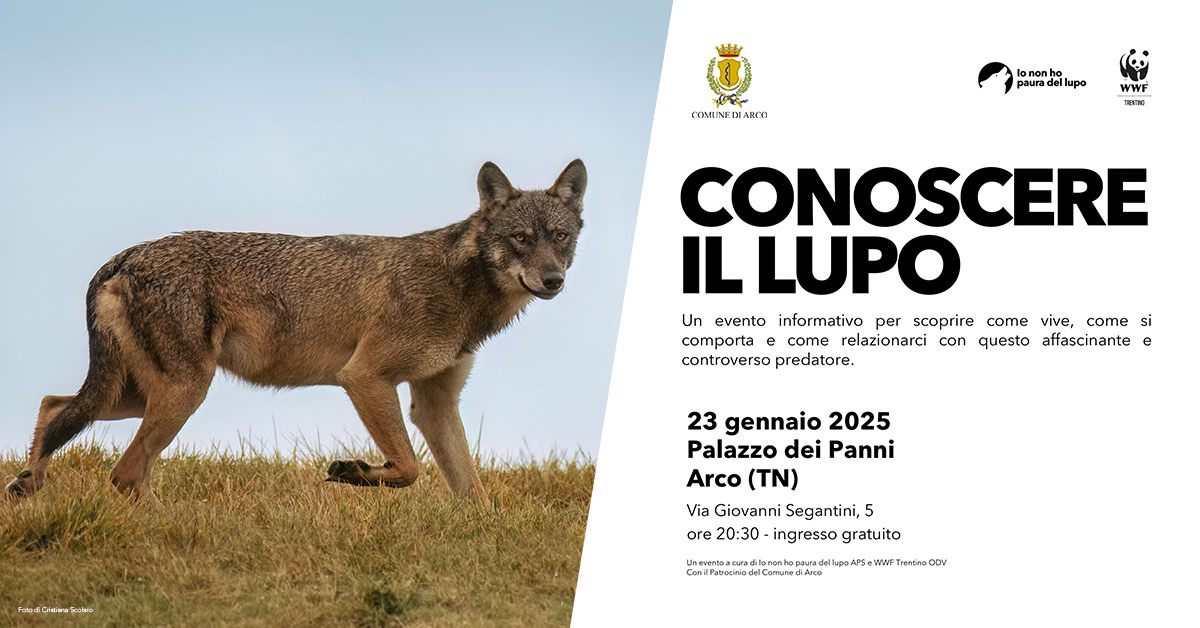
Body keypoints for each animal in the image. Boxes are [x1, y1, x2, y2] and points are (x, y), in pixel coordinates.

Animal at [4, 160, 586, 504]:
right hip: (180, 393)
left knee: (53, 407)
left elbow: (472, 490)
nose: (554, 280)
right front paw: (352, 471)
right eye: (520, 238)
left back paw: (27, 489)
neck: (459, 285)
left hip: (136, 396)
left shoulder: (434, 403)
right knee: (123, 472)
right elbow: (409, 469)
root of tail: (124, 255)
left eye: (559, 237)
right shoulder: (364, 378)